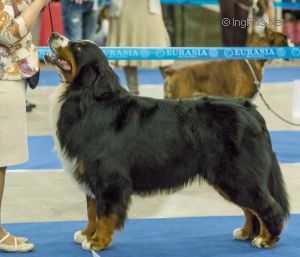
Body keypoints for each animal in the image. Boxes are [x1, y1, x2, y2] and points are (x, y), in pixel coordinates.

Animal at [45, 32, 290, 250]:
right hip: (229, 177)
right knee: (250, 208)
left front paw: (97, 242)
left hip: (237, 174)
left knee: (267, 206)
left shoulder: (109, 178)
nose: (54, 34)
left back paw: (266, 239)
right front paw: (86, 234)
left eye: (77, 47)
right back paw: (247, 232)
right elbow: (91, 211)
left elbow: (104, 214)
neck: (86, 97)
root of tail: (249, 109)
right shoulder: (91, 175)